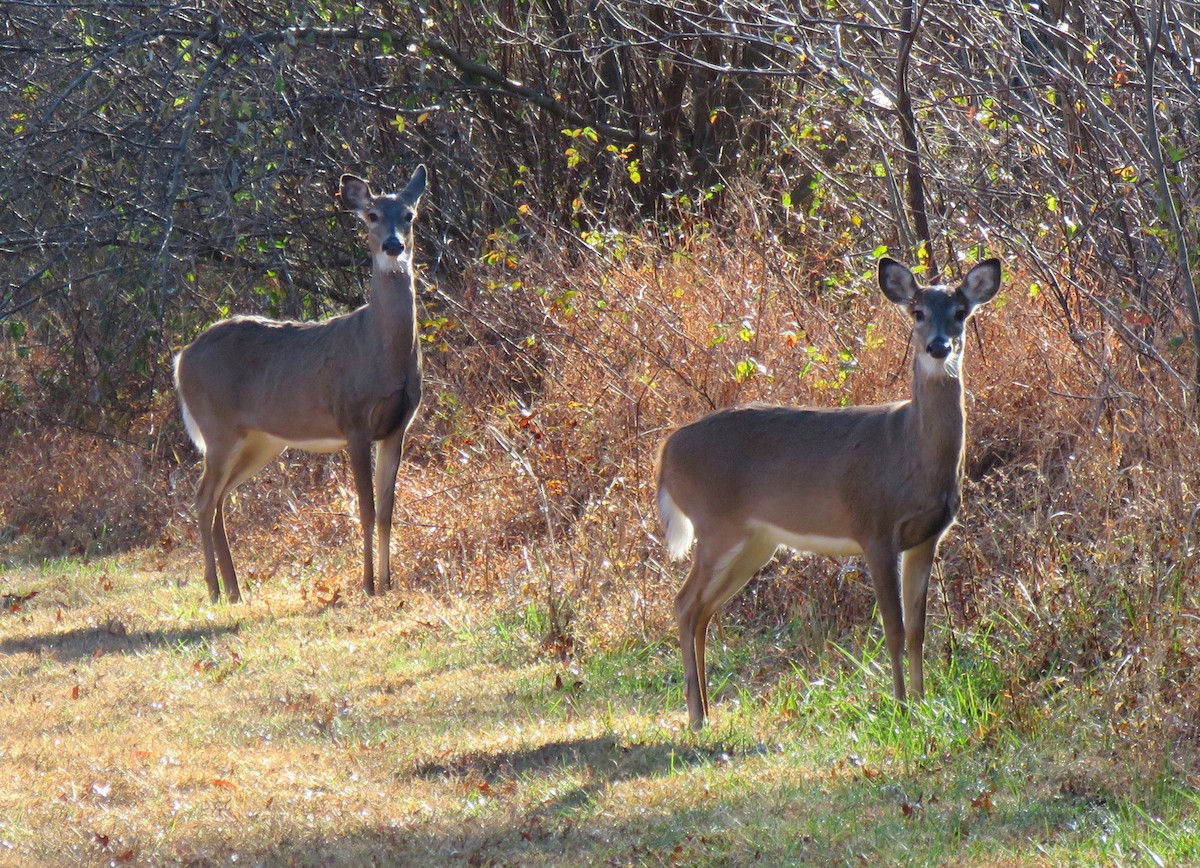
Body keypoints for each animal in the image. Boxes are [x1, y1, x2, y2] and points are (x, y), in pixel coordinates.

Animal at [173, 166, 428, 603]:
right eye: (372, 215)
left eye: (409, 215)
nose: (393, 246)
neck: (379, 349)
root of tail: (181, 358)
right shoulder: (353, 420)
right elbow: (364, 509)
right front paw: (367, 585)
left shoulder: (398, 426)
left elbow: (386, 511)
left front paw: (389, 584)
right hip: (218, 428)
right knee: (204, 497)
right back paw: (215, 590)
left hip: (261, 440)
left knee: (220, 498)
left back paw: (235, 590)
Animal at [657, 256, 1002, 729]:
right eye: (917, 312)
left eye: (960, 312)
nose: (938, 347)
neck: (909, 452)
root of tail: (666, 451)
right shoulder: (875, 529)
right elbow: (893, 629)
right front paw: (901, 709)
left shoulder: (926, 538)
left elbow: (918, 630)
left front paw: (922, 703)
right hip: (715, 526)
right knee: (683, 603)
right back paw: (696, 716)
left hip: (755, 542)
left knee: (702, 610)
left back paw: (705, 710)